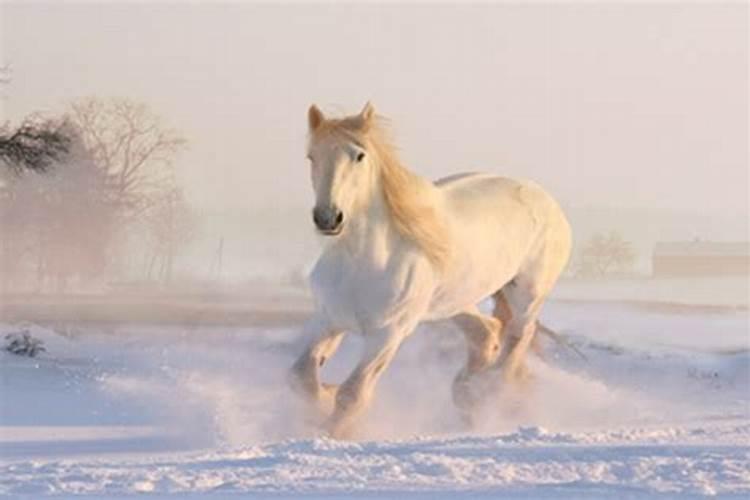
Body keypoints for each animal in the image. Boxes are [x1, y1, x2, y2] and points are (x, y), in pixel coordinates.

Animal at [290, 102, 572, 438]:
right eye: (311, 156)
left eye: (359, 155)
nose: (328, 218)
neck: (362, 262)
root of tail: (544, 198)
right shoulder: (329, 320)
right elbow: (301, 377)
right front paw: (323, 401)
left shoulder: (388, 334)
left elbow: (352, 394)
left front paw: (332, 432)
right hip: (455, 301)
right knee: (487, 333)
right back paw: (467, 394)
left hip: (526, 294)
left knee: (518, 336)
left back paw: (486, 391)